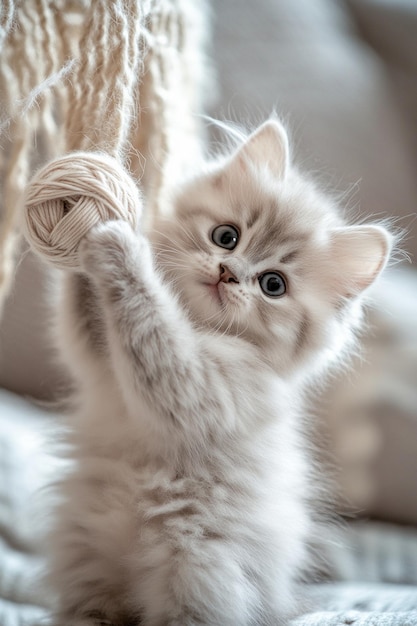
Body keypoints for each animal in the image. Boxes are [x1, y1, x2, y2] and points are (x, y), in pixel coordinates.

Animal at [47, 119, 392, 620]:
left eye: (273, 285)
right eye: (226, 236)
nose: (229, 272)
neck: (195, 324)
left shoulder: (200, 387)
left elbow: (146, 314)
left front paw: (120, 247)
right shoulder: (97, 360)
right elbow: (83, 314)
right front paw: (88, 208)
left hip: (199, 570)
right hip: (86, 564)